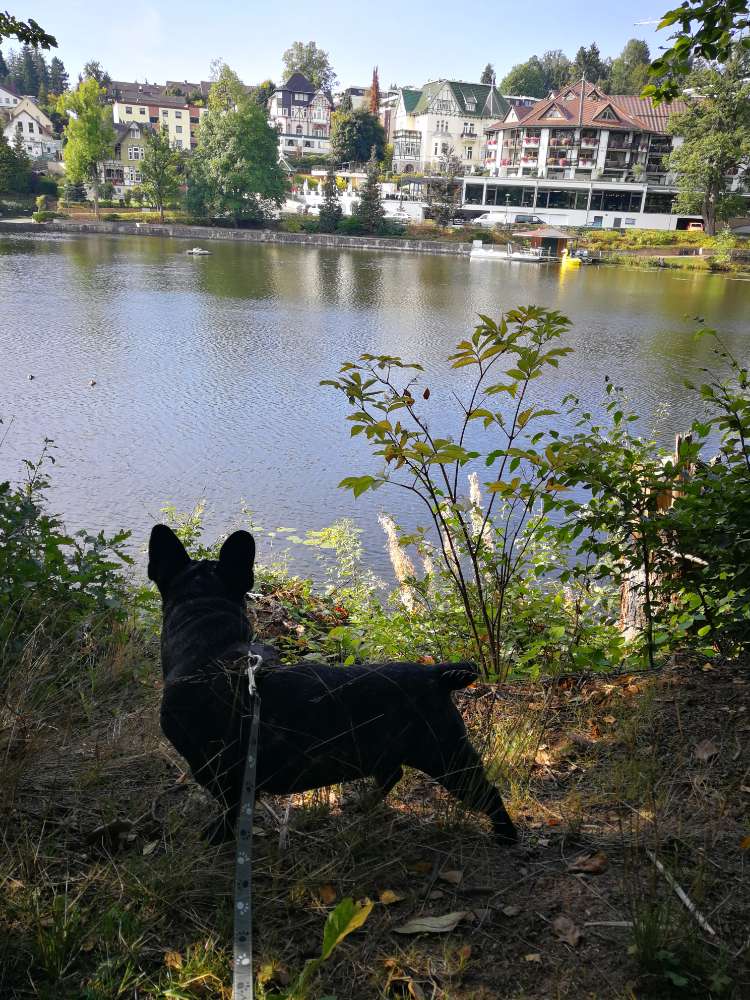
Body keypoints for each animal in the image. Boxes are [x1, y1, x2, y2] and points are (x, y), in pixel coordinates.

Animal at [150, 524, 520, 844]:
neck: (212, 648)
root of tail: (436, 675)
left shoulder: (219, 774)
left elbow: (230, 810)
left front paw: (216, 837)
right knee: (391, 775)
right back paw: (363, 804)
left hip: (445, 755)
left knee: (486, 794)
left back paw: (506, 836)